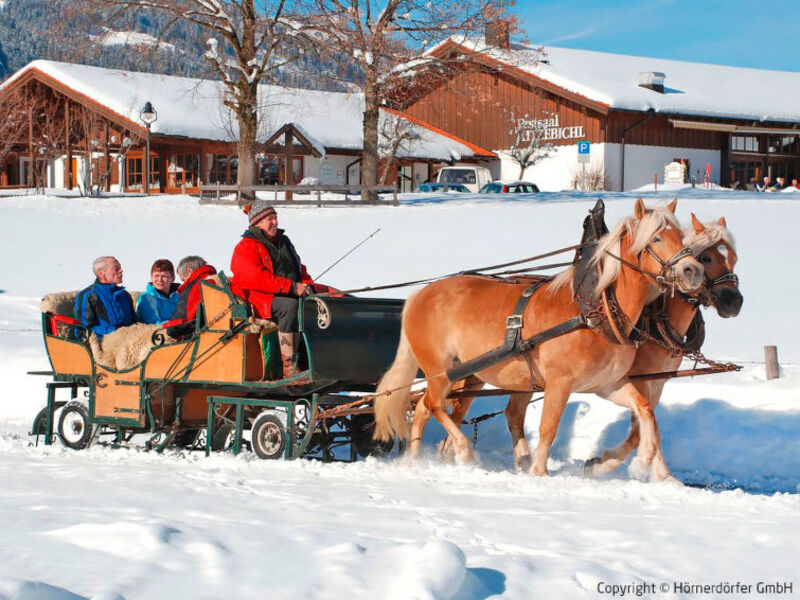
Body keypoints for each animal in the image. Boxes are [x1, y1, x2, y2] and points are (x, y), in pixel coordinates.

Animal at [372, 199, 704, 480]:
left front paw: (644, 460)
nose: (692, 270)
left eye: (681, 237)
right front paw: (539, 472)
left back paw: (415, 459)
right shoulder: (560, 382)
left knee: (424, 409)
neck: (592, 310)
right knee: (434, 403)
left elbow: (645, 411)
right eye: (657, 239)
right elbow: (548, 427)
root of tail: (419, 295)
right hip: (440, 370)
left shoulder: (608, 384)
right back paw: (464, 451)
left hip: (467, 373)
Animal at [580, 213, 744, 480]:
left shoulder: (657, 382)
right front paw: (607, 464)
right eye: (706, 258)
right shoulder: (637, 380)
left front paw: (661, 476)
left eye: (734, 258)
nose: (734, 302)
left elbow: (648, 426)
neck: (656, 320)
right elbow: (644, 430)